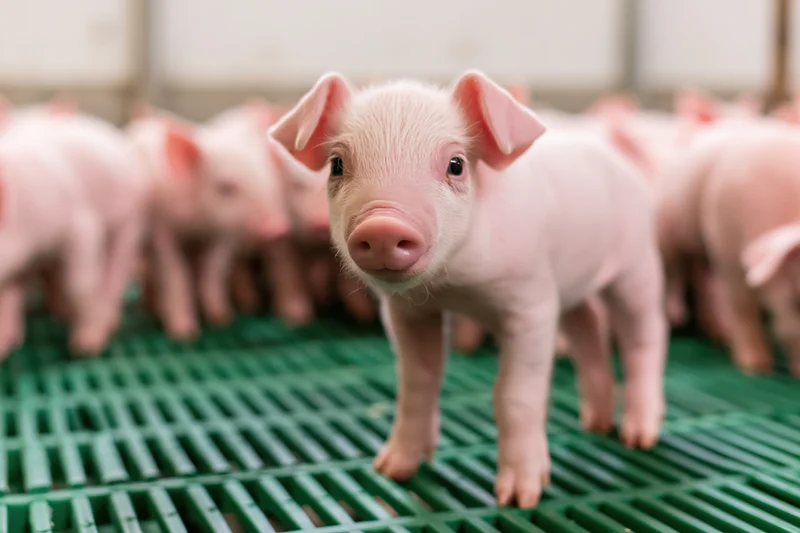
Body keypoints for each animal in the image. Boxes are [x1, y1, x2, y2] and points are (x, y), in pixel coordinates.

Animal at [269, 70, 667, 507]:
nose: (383, 225)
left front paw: (519, 497)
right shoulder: (407, 310)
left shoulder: (532, 303)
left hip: (636, 264)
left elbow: (514, 394)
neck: (456, 287)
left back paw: (638, 437)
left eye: (456, 165)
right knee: (588, 328)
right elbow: (418, 380)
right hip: (573, 288)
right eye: (337, 164)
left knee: (644, 334)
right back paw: (594, 424)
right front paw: (391, 469)